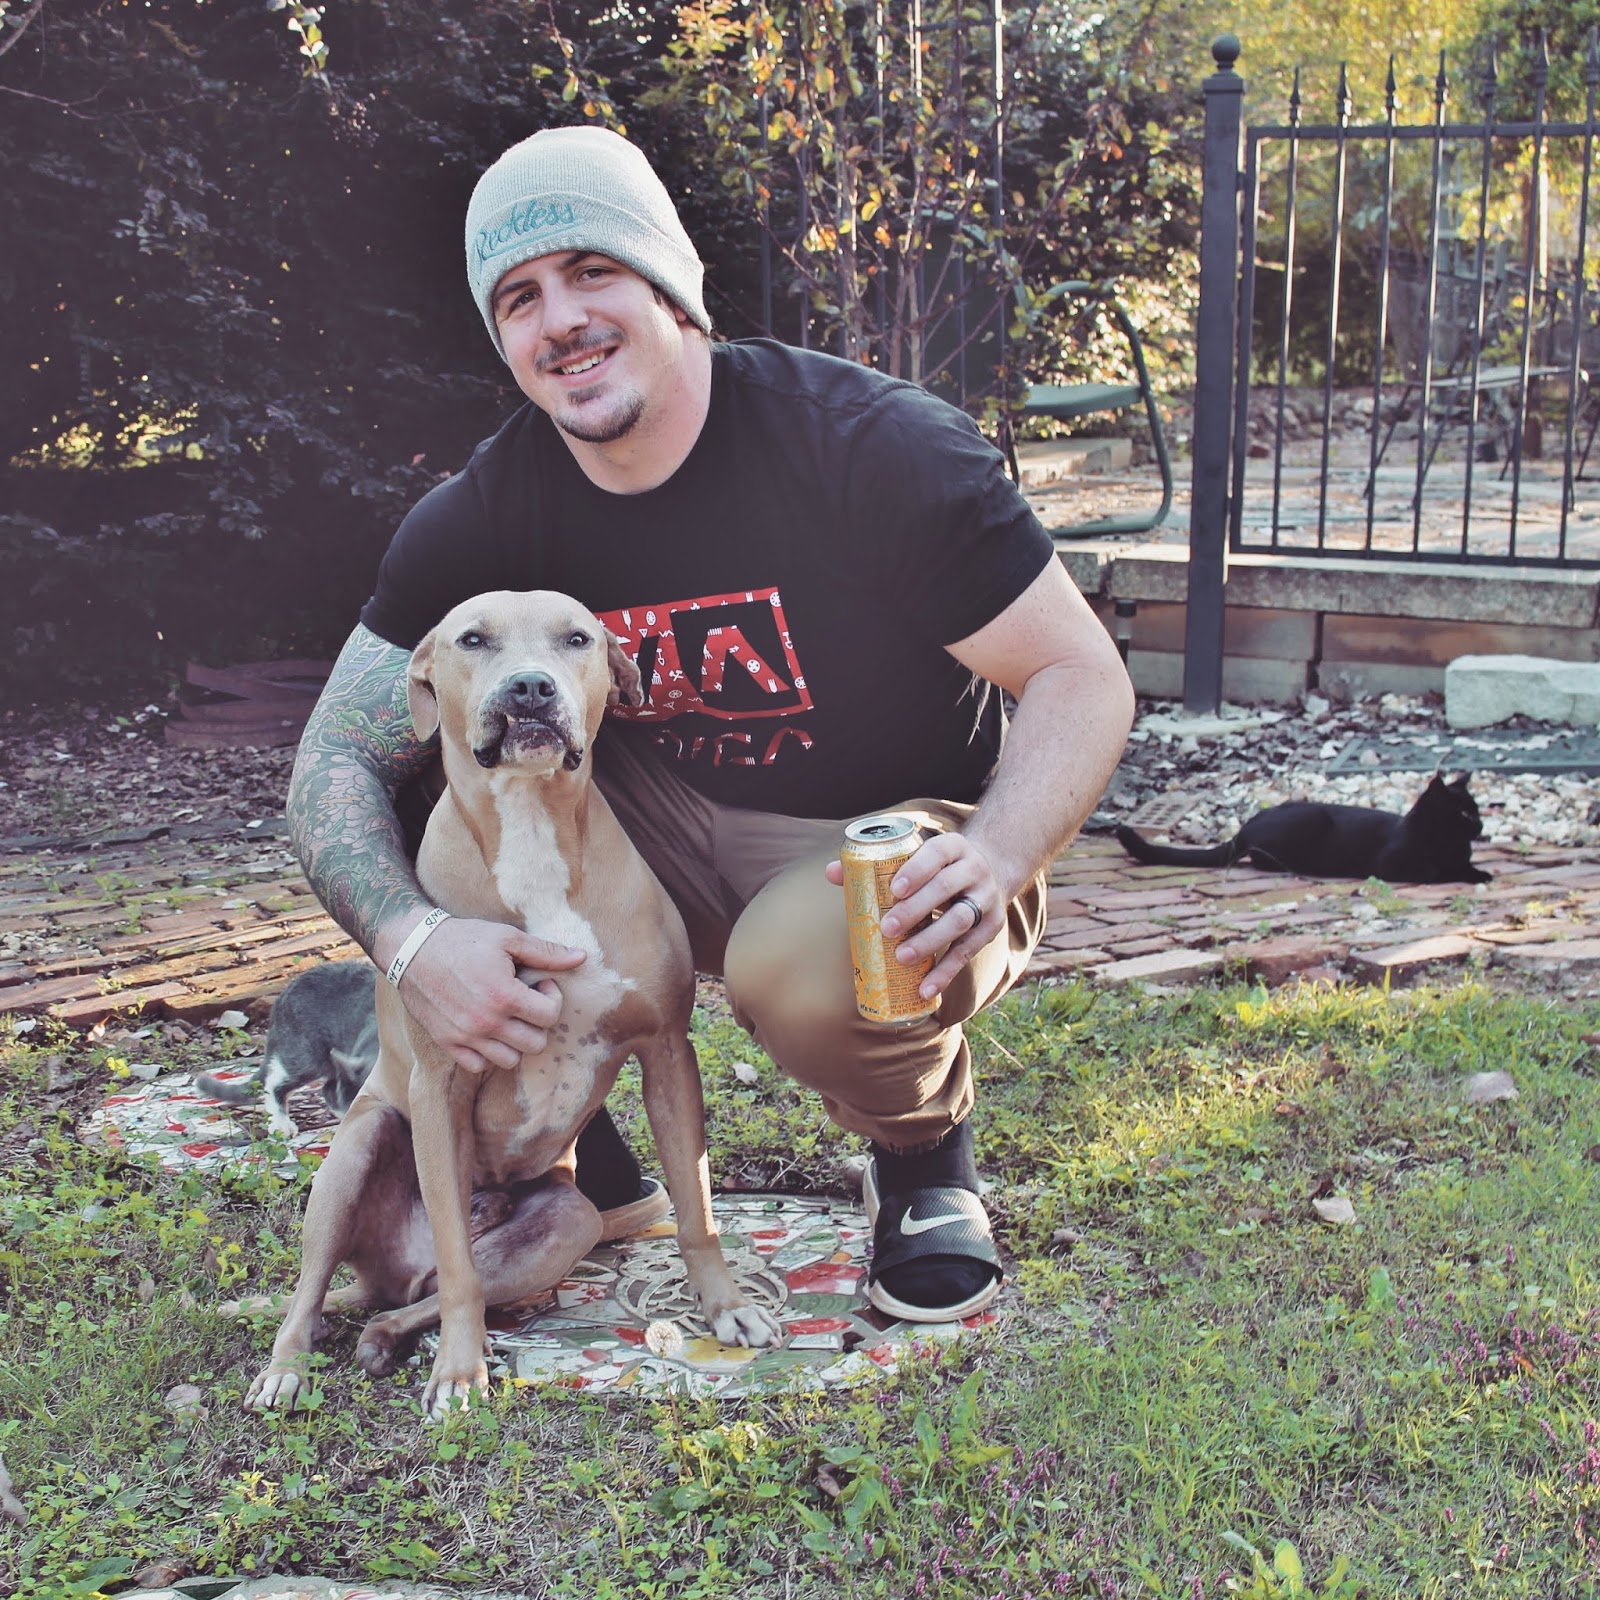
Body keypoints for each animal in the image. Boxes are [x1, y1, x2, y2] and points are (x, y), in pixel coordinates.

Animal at [246, 590, 783, 1417]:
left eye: (578, 639)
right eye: (473, 639)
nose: (530, 688)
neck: (532, 829)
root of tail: (381, 1273)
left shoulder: (667, 1053)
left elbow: (696, 1209)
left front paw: (724, 1306)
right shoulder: (440, 1084)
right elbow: (459, 1271)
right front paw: (460, 1371)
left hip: (567, 1221)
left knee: (412, 1299)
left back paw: (386, 1338)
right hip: (355, 1156)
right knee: (339, 1285)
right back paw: (289, 1366)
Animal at [1115, 773, 1490, 885]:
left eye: (1477, 810)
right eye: (1464, 813)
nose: (1482, 825)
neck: (1449, 844)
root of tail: (1245, 827)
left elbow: (1465, 867)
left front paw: (1481, 873)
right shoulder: (1393, 864)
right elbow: (1434, 871)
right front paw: (1461, 874)